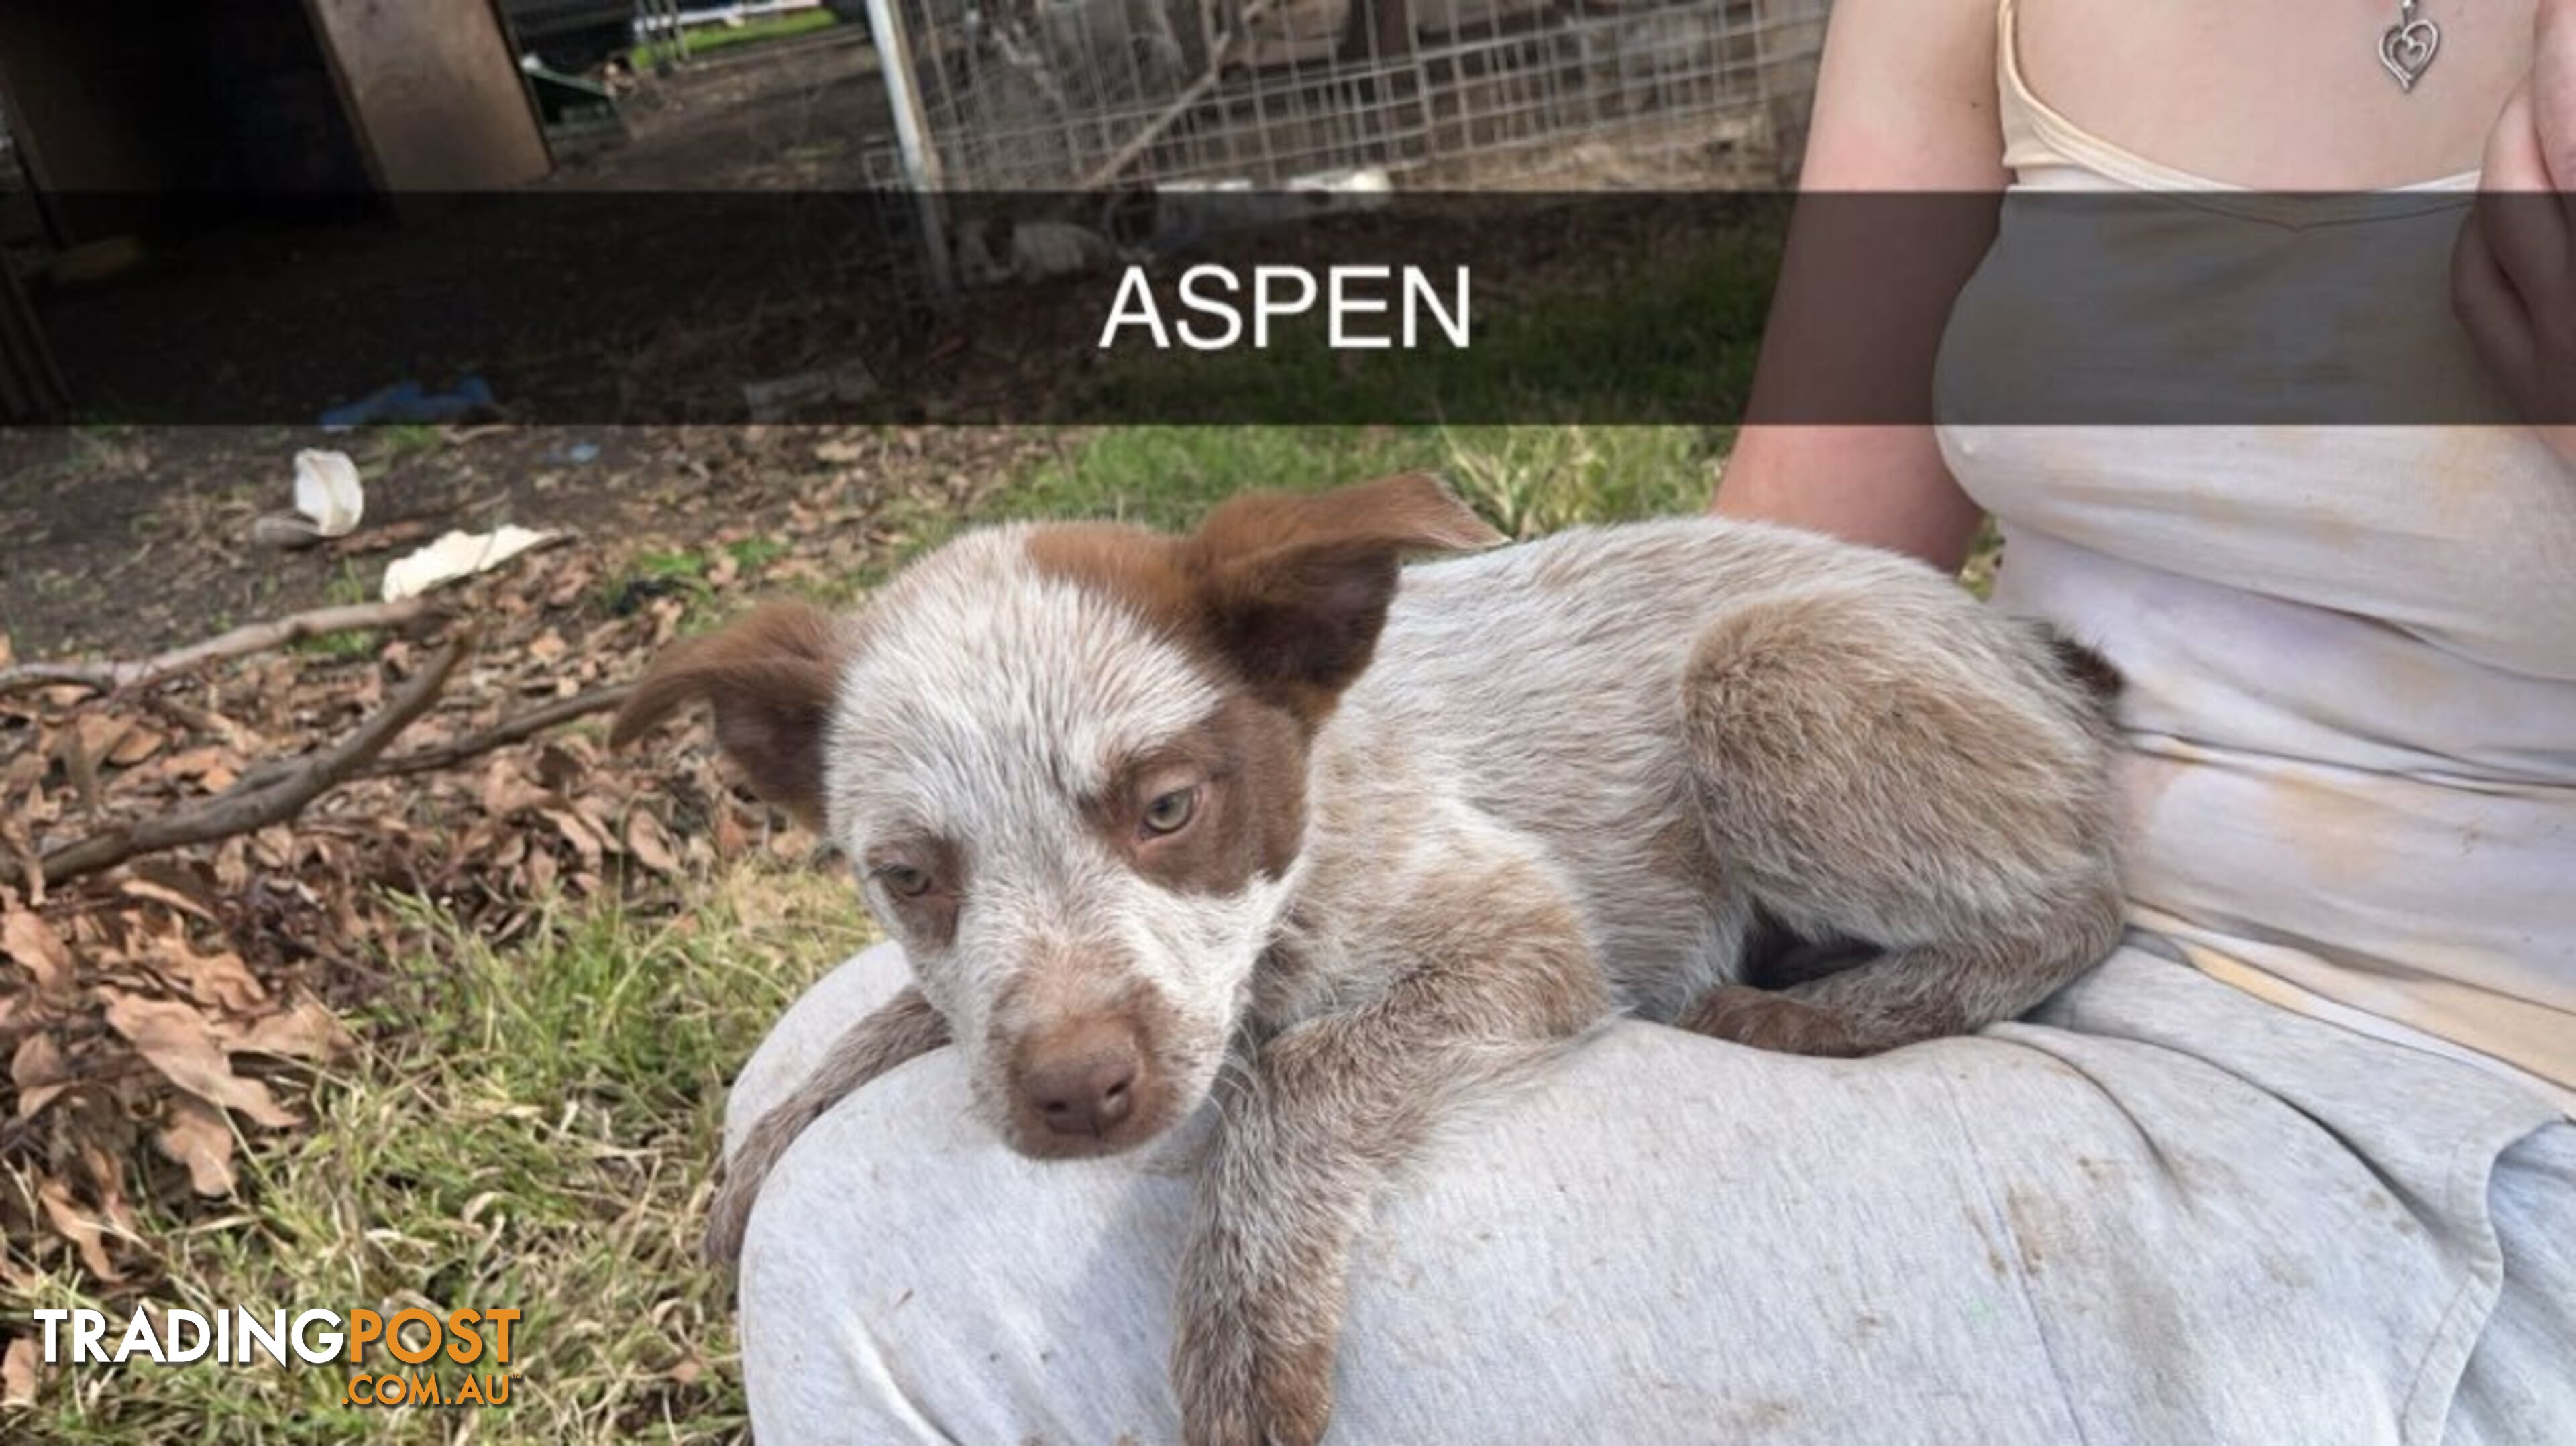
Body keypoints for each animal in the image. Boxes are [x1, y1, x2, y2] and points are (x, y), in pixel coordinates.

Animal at [612, 474, 2123, 1443]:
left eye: (1170, 808)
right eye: (910, 876)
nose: (1078, 1095)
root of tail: (2029, 646)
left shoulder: (1525, 940)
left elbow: (1299, 1080)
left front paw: (1241, 1346)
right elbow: (902, 1015)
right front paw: (762, 1155)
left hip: (1763, 672)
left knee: (2080, 904)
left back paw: (1822, 1010)